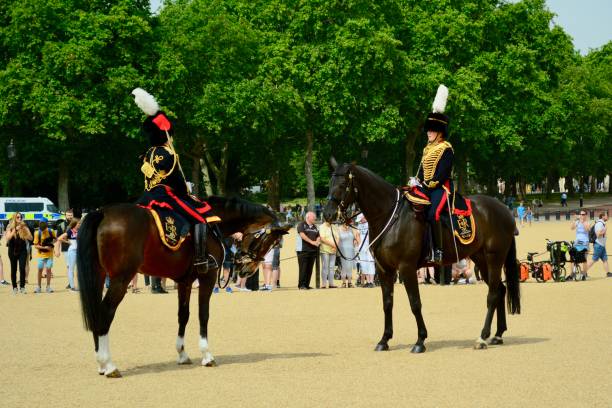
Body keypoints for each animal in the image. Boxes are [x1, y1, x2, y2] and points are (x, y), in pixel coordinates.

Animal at [76, 196, 290, 378]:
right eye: (266, 241)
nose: (247, 270)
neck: (213, 224)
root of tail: (102, 212)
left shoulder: (185, 282)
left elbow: (183, 315)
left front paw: (182, 354)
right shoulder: (207, 277)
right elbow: (203, 314)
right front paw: (207, 355)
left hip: (99, 276)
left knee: (96, 312)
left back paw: (101, 365)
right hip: (121, 279)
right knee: (105, 313)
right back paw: (108, 364)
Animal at [322, 161, 520, 352]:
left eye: (342, 185)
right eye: (329, 184)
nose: (327, 214)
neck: (391, 216)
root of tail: (505, 209)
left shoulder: (406, 267)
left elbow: (415, 303)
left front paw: (420, 341)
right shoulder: (384, 269)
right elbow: (387, 303)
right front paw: (384, 340)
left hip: (494, 258)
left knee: (492, 294)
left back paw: (482, 337)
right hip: (481, 259)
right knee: (500, 290)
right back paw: (497, 334)